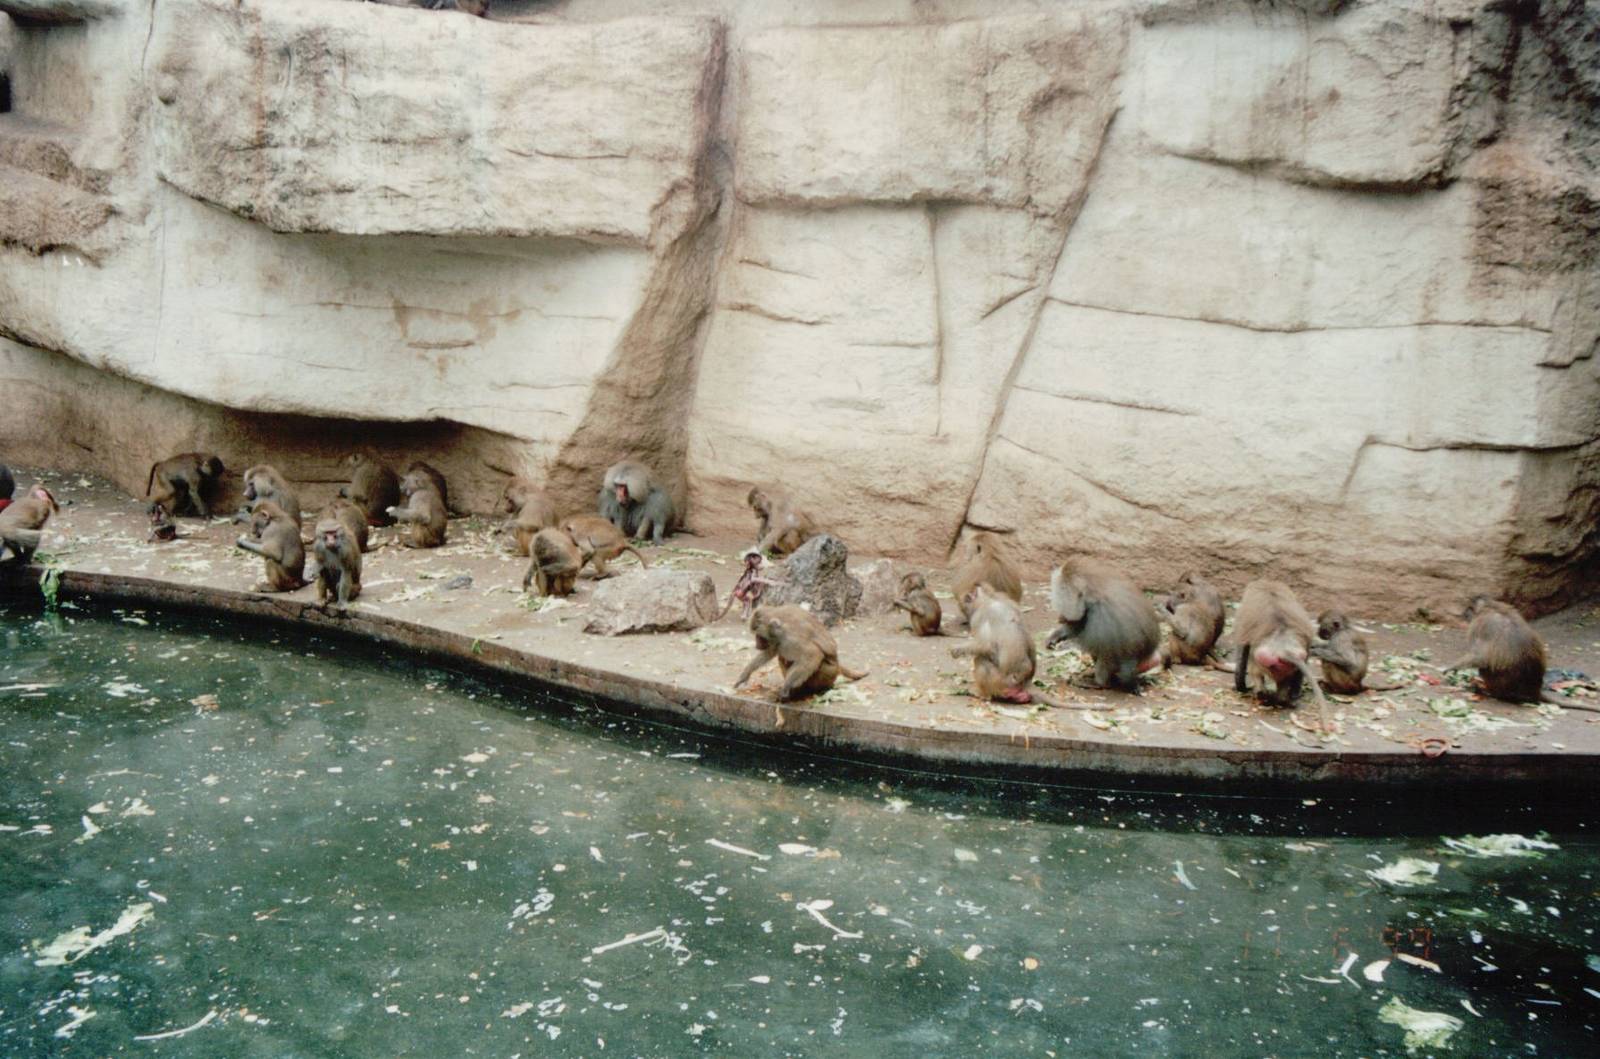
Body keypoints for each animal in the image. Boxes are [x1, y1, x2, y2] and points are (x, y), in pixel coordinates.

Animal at [734, 604, 868, 701]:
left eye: (760, 637)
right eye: (756, 637)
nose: (757, 645)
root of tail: (838, 664)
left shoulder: (790, 639)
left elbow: (813, 654)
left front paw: (786, 687)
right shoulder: (776, 641)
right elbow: (769, 653)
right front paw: (745, 674)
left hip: (832, 671)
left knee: (819, 665)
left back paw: (819, 689)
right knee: (783, 658)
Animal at [1230, 580, 1331, 729]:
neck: (1268, 587)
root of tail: (1284, 649)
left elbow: (1242, 654)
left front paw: (1240, 688)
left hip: (1266, 660)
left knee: (1255, 668)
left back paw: (1262, 695)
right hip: (1289, 661)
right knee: (1291, 674)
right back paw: (1286, 699)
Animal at [1441, 596, 1600, 710]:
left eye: (1468, 609)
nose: (1463, 614)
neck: (1491, 606)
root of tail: (1534, 690)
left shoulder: (1481, 624)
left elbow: (1481, 657)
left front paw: (1452, 669)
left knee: (1485, 669)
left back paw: (1485, 691)